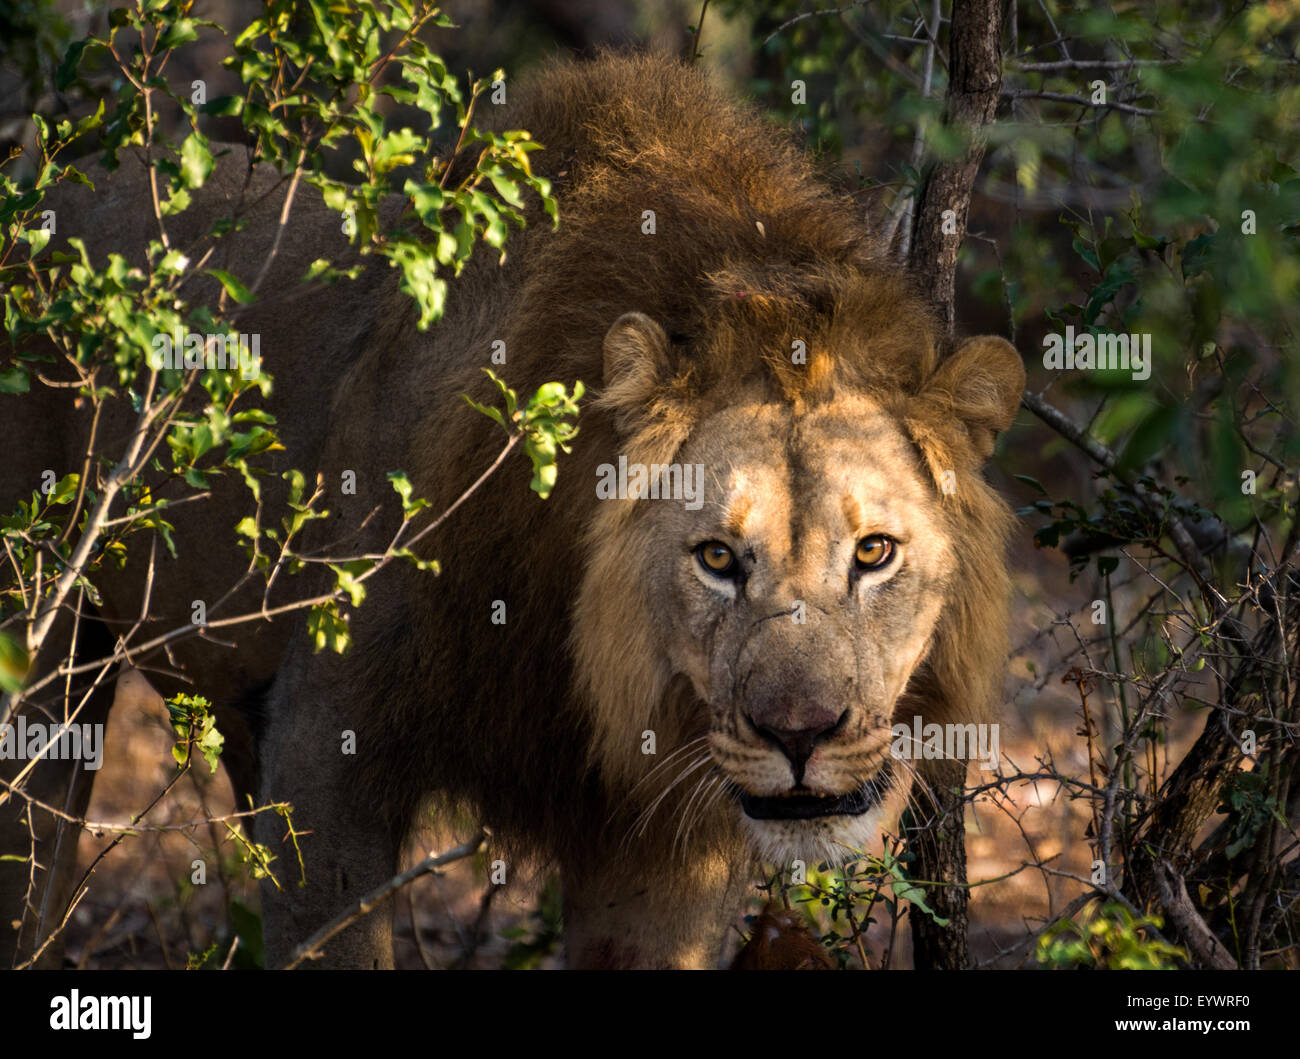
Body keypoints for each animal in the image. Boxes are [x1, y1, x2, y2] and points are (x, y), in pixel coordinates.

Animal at [2, 55, 1024, 966]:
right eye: (717, 559)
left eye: (876, 553)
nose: (801, 735)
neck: (585, 655)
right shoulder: (329, 744)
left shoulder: (662, 844)